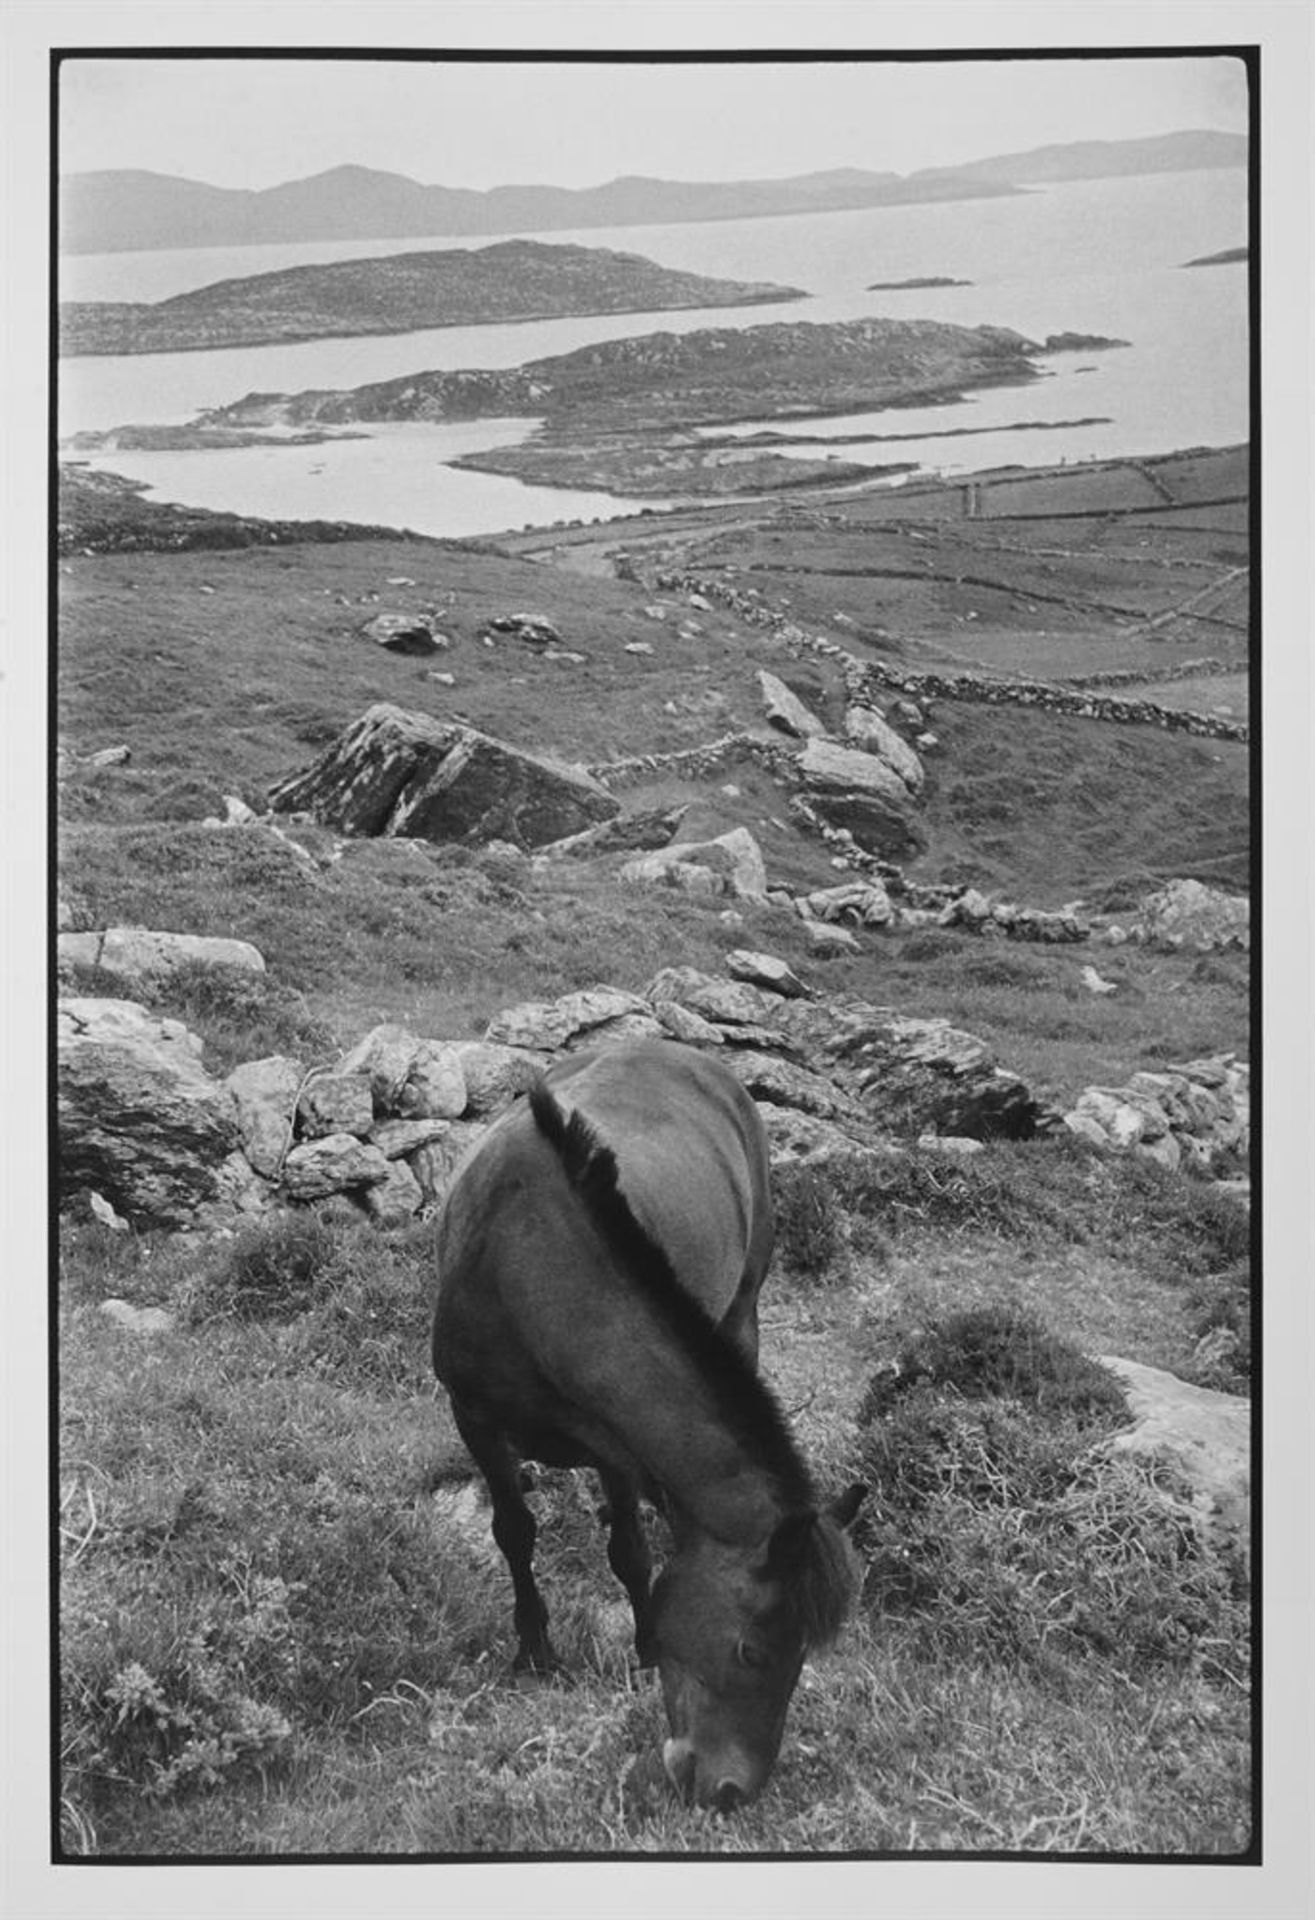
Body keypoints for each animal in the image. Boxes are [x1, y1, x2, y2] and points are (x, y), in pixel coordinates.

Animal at [430, 1044, 860, 1804]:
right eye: (752, 1650)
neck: (529, 1265)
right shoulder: (473, 1415)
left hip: (743, 1309)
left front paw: (639, 1648)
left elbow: (629, 1552)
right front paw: (535, 1651)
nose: (732, 1792)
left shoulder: (615, 1446)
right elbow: (513, 1531)